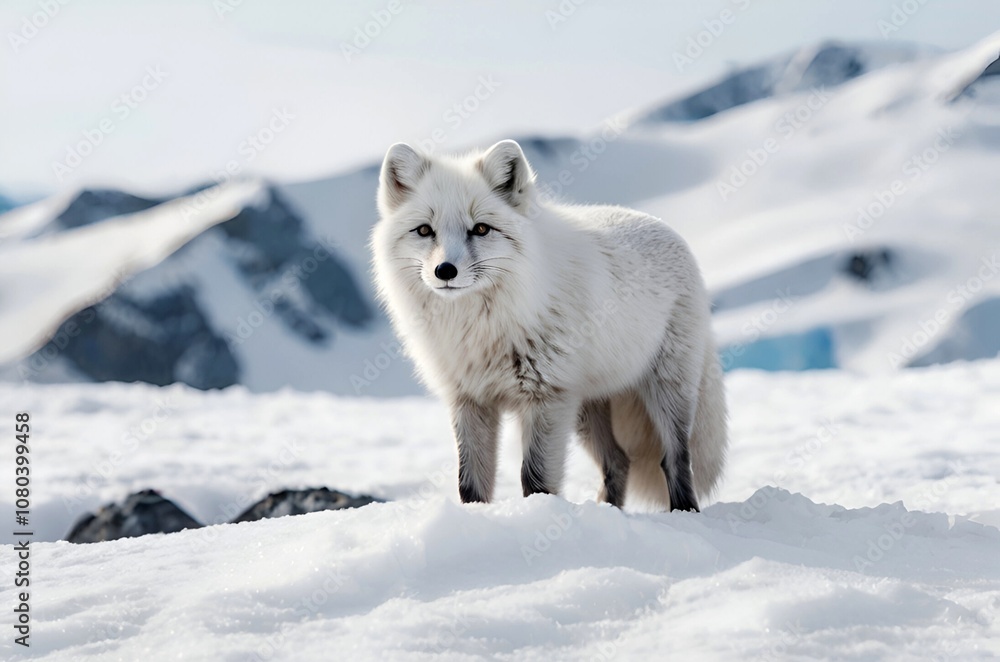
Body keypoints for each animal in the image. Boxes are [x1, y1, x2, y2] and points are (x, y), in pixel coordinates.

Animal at [371, 139, 727, 511]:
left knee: (675, 459)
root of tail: (665, 227)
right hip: (585, 410)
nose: (445, 271)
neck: (480, 330)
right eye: (425, 230)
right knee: (618, 460)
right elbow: (469, 485)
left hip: (665, 391)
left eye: (480, 228)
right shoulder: (470, 401)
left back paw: (684, 510)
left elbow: (535, 479)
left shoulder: (547, 398)